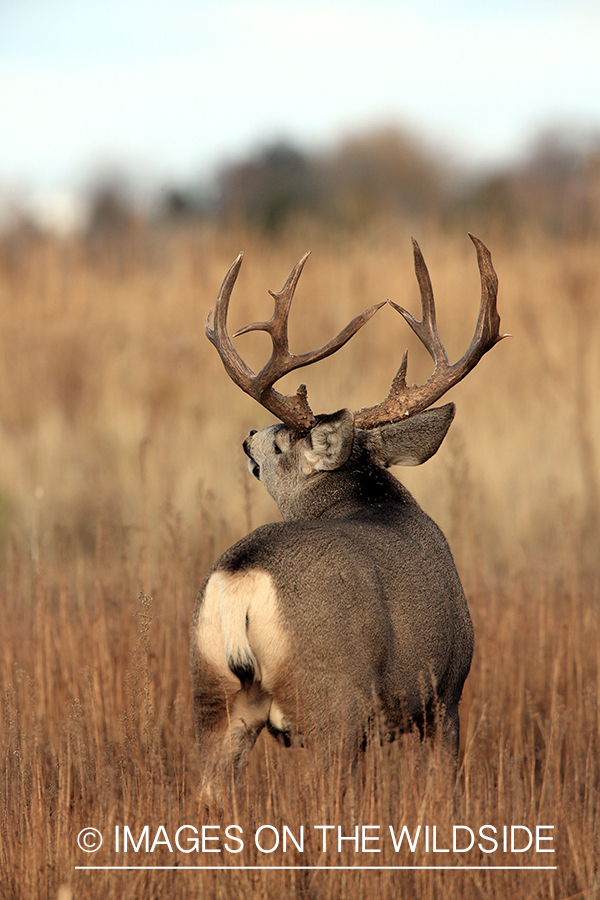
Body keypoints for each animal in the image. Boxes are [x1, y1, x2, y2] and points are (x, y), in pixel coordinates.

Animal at [190, 236, 504, 800]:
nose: (247, 437)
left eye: (277, 444)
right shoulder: (445, 693)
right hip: (331, 701)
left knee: (209, 790)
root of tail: (242, 576)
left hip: (214, 691)